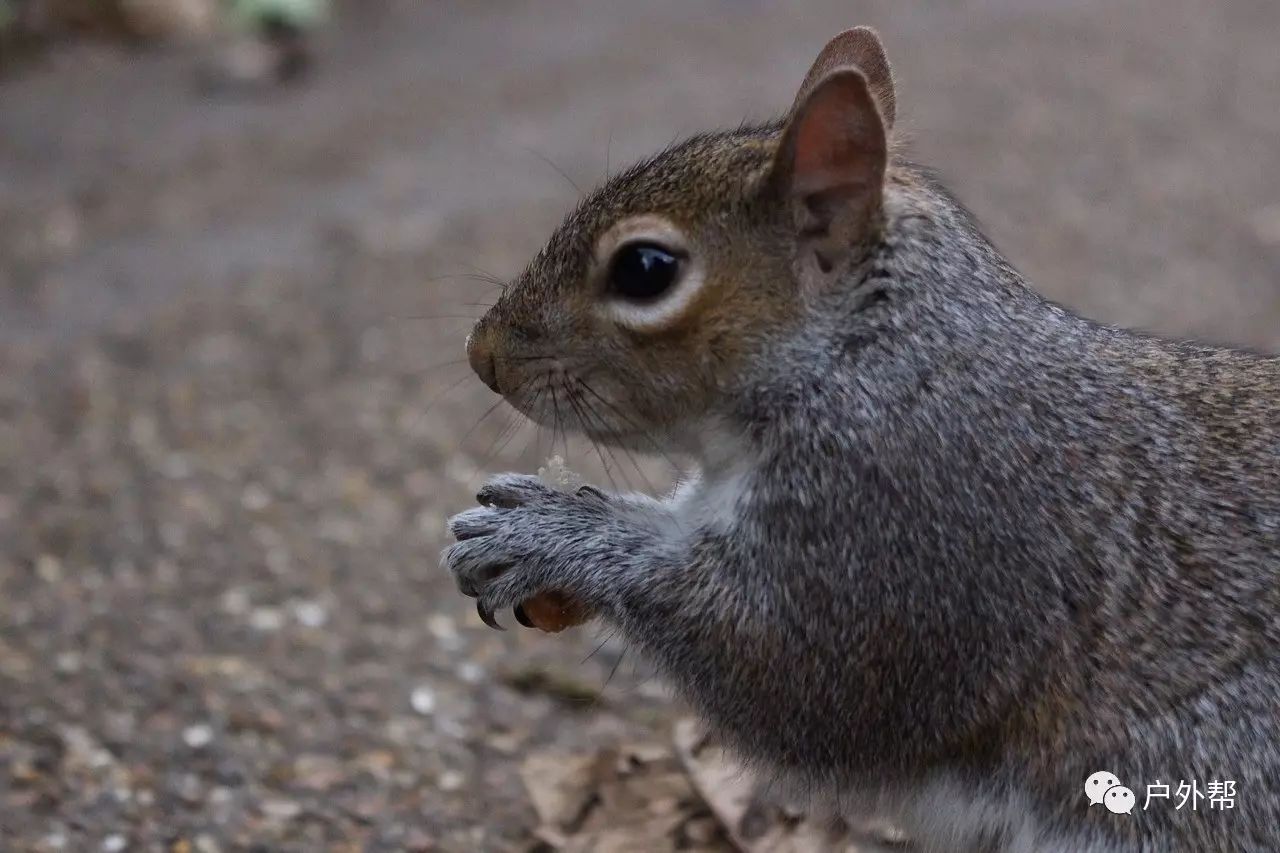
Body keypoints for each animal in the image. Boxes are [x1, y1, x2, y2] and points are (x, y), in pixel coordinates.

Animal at [442, 26, 1280, 850]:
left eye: (646, 269)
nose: (482, 355)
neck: (870, 357)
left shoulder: (905, 526)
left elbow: (793, 675)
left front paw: (548, 533)